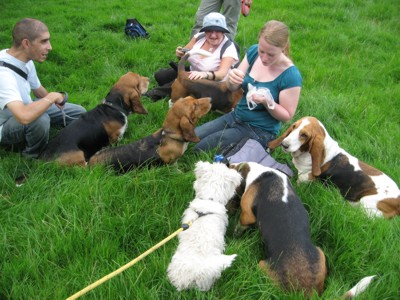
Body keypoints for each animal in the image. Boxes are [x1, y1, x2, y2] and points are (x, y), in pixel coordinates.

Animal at [268, 115, 400, 218]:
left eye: (304, 135)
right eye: (294, 127)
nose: (284, 144)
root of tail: (398, 201)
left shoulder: (304, 179)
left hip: (366, 203)